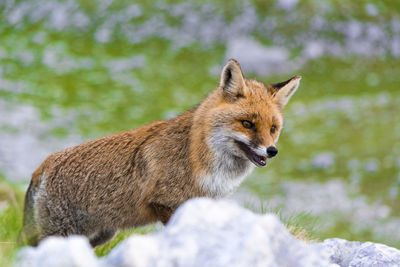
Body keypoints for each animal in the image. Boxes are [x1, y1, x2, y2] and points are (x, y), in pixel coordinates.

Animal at [18, 59, 300, 248]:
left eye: (273, 129)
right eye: (247, 124)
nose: (272, 151)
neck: (198, 156)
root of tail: (43, 165)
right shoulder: (166, 203)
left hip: (100, 235)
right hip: (61, 234)